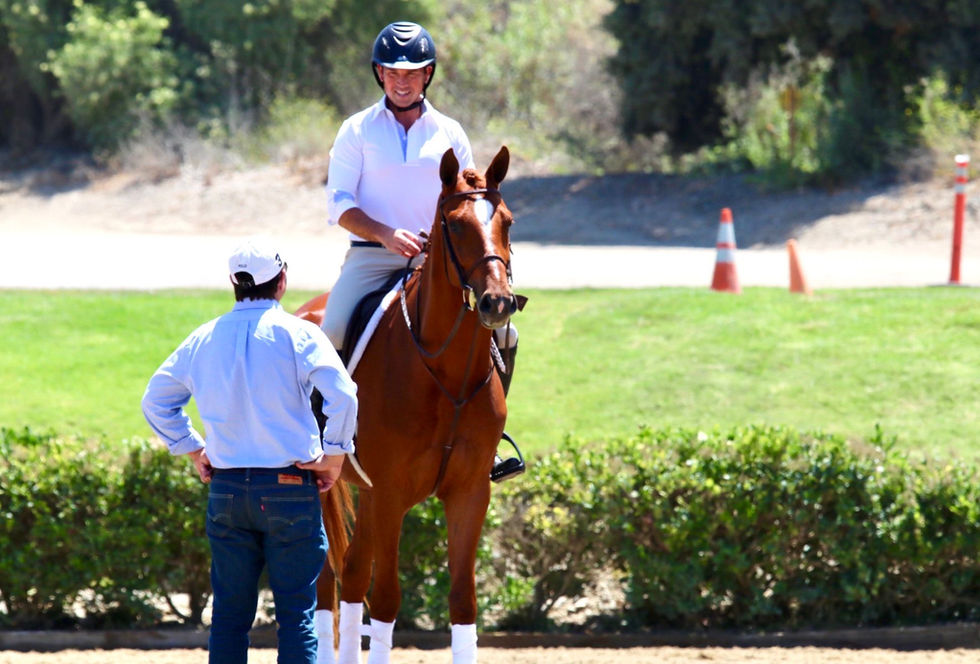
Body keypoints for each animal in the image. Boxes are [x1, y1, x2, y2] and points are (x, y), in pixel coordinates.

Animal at [300, 146, 519, 664]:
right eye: (455, 225)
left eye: (508, 222)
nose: (498, 303)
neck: (445, 376)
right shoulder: (391, 495)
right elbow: (386, 600)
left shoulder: (467, 493)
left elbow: (463, 599)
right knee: (327, 583)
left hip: (365, 492)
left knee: (351, 574)